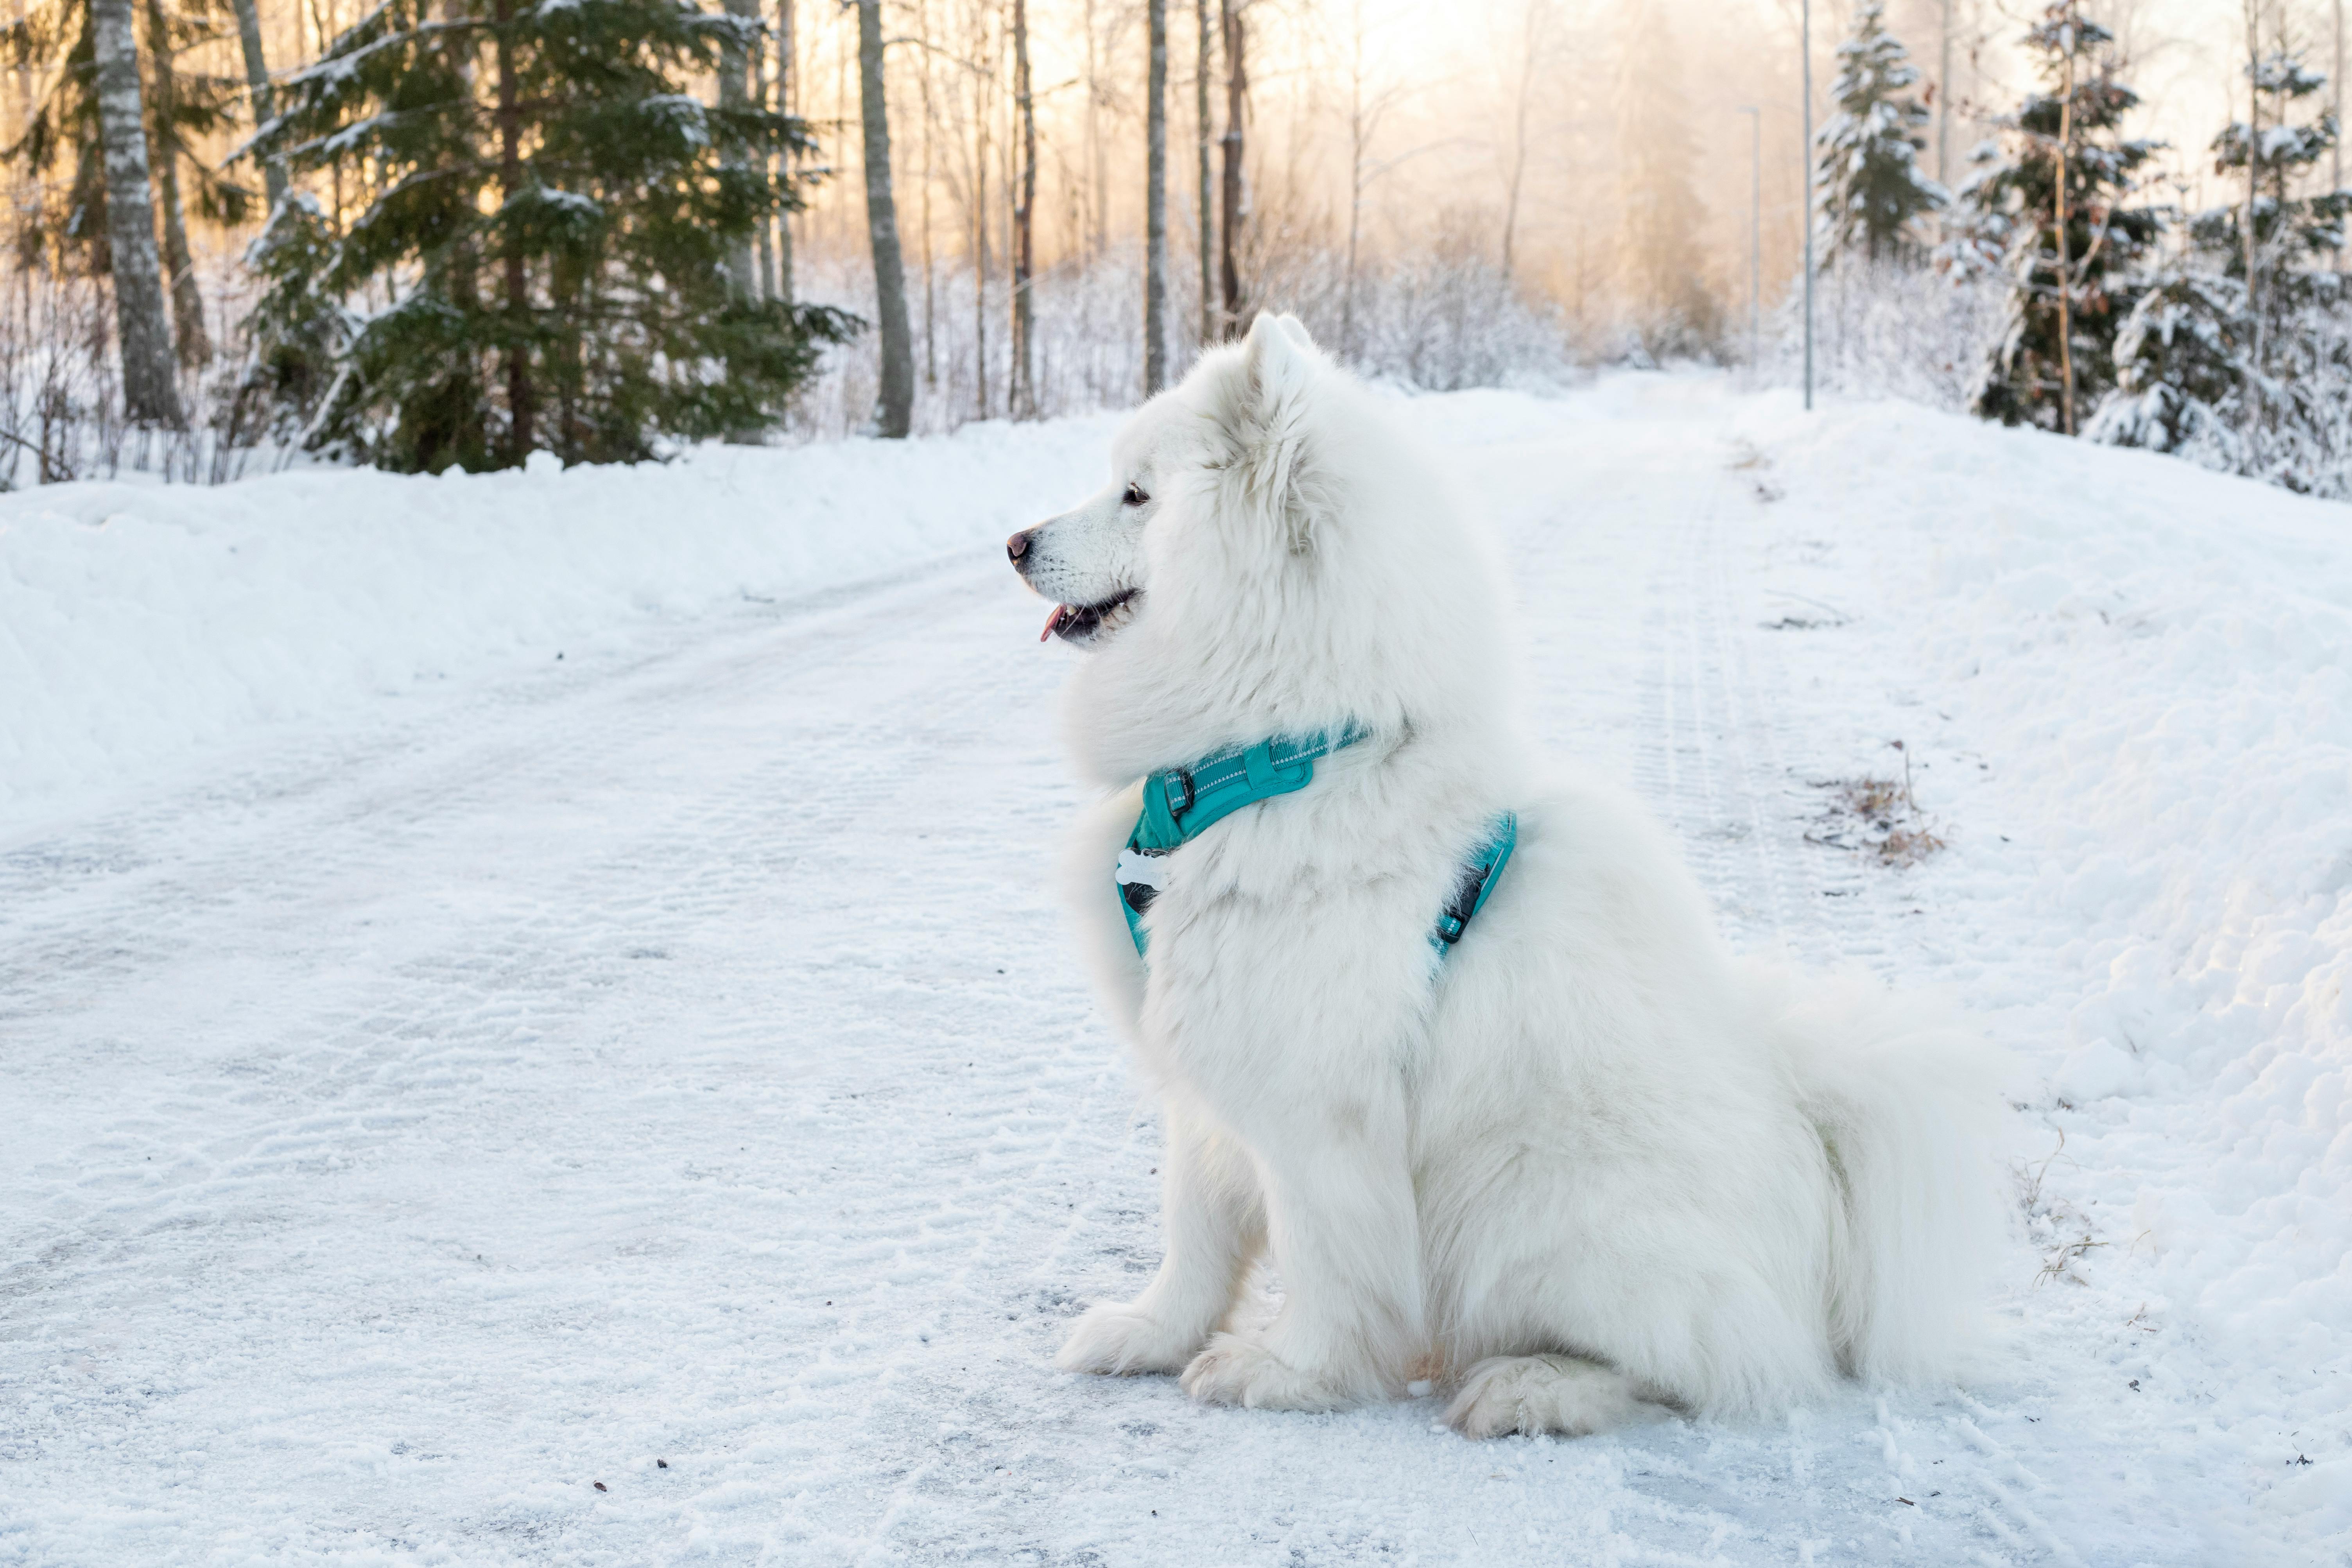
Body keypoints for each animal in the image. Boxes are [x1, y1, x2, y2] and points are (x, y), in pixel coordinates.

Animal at [1002, 315, 2013, 1439]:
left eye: (1138, 495)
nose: (1015, 543)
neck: (1276, 760)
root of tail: (1822, 1196)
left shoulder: (1319, 1111)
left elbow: (1323, 1259)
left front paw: (1290, 1371)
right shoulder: (1206, 1073)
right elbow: (1193, 1229)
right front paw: (1149, 1332)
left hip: (1535, 1206)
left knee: (1703, 1367)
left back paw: (1532, 1384)